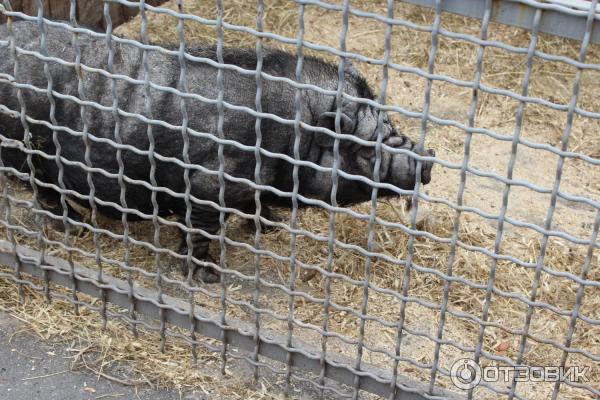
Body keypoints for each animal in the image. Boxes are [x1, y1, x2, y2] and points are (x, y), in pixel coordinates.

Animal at [0, 21, 432, 282]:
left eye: (392, 128)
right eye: (366, 149)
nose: (426, 160)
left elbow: (255, 205)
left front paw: (273, 225)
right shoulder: (211, 181)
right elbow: (201, 228)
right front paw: (208, 277)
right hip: (23, 150)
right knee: (43, 191)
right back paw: (74, 225)